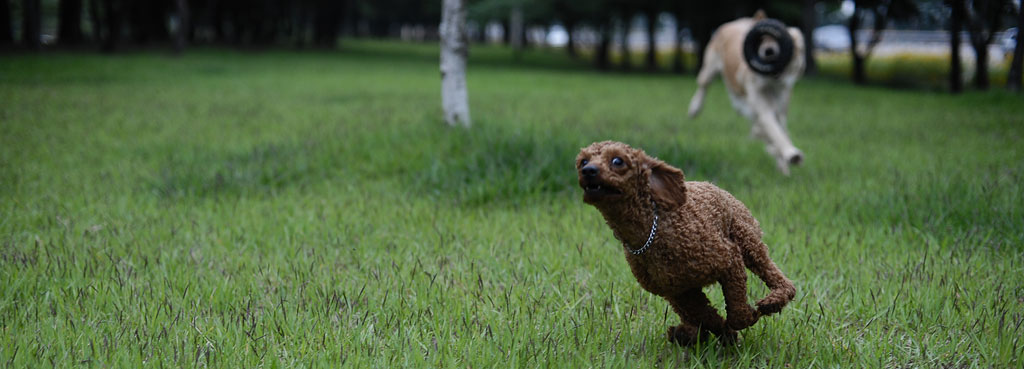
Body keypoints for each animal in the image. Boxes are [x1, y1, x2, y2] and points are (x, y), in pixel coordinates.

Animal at [688, 10, 806, 174]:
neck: (771, 82)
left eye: (778, 41)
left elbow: (778, 130)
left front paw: (782, 164)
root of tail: (737, 22)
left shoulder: (781, 105)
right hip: (709, 67)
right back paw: (694, 108)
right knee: (703, 85)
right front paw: (791, 153)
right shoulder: (761, 105)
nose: (769, 51)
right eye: (761, 40)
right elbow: (773, 129)